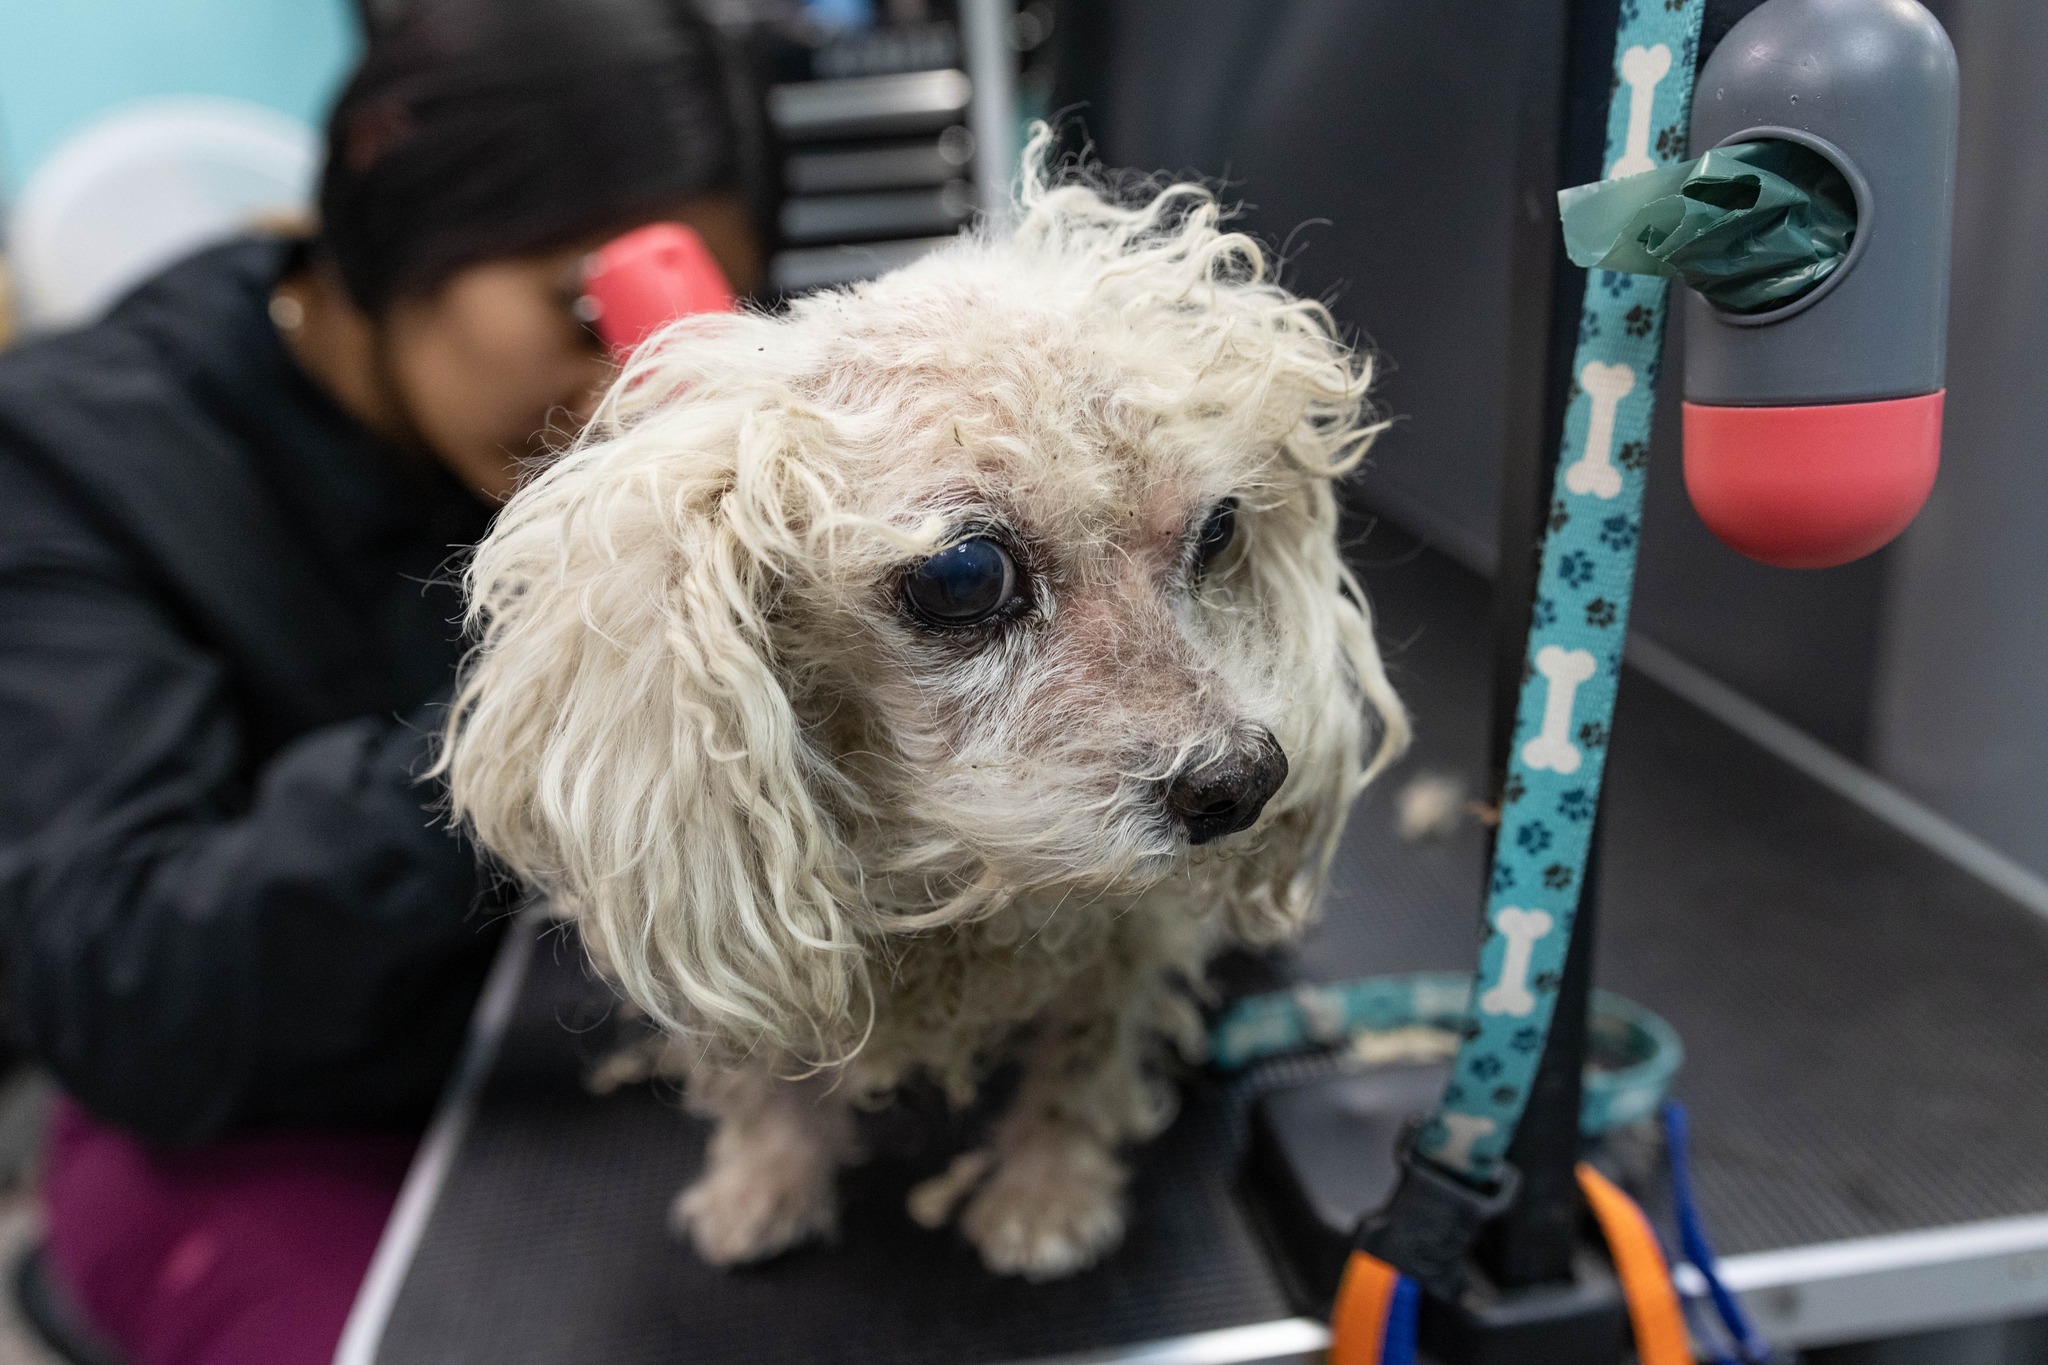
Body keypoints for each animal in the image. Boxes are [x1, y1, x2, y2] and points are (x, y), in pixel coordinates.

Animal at [444, 147, 1409, 1285]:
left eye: (1217, 532)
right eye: (964, 578)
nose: (1244, 782)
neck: (960, 875)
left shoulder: (1124, 946)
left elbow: (1080, 1061)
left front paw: (1044, 1196)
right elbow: (769, 1075)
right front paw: (765, 1181)